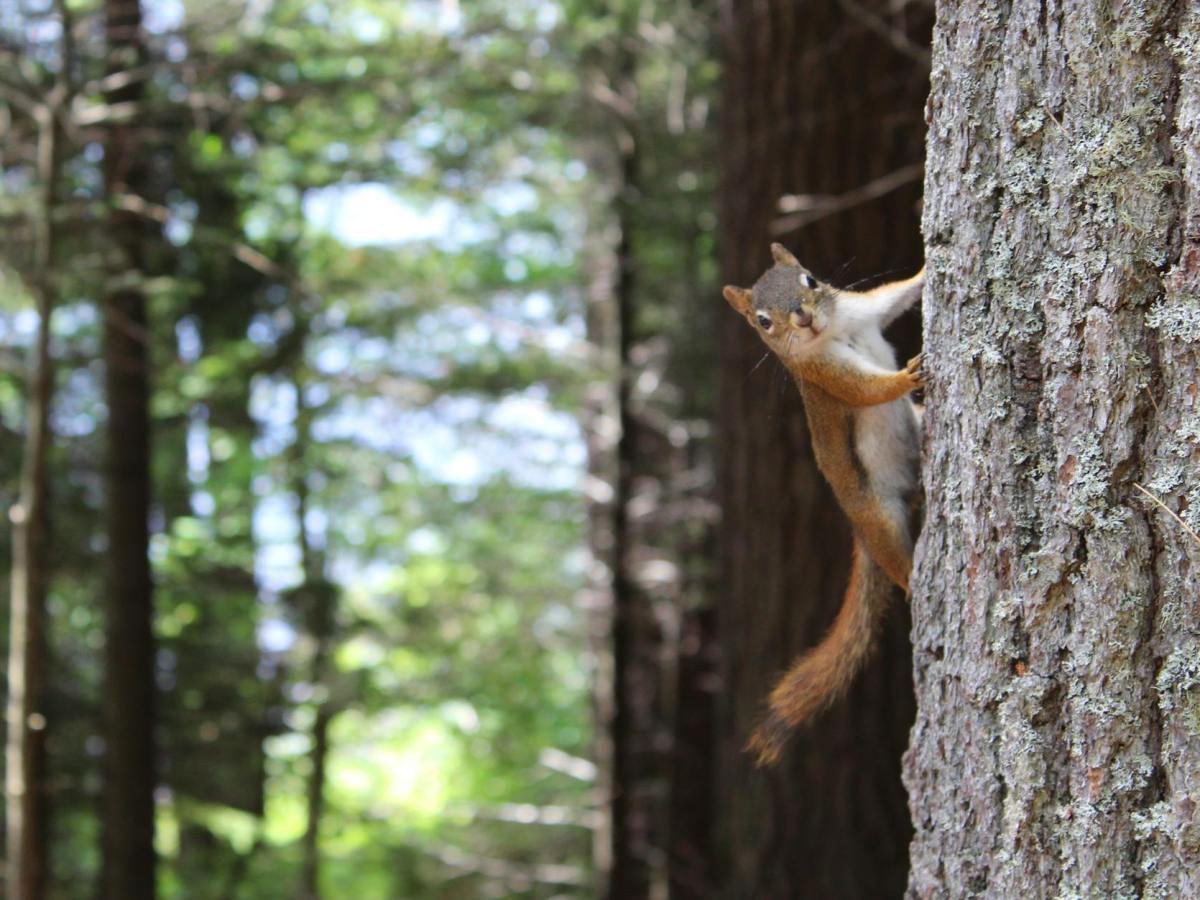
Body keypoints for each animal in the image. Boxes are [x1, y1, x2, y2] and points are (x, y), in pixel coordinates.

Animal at [723, 242, 924, 766]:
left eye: (810, 280)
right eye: (762, 322)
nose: (803, 318)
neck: (834, 330)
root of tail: (858, 531)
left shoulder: (864, 310)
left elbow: (896, 295)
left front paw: (927, 267)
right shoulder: (823, 375)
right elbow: (866, 390)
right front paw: (906, 375)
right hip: (878, 516)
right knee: (896, 561)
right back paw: (914, 582)